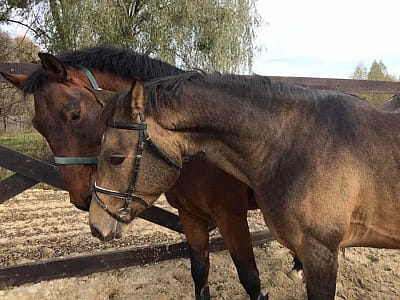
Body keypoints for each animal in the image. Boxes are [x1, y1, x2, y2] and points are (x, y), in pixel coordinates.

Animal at [0, 47, 272, 300]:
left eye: (74, 115)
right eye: (38, 126)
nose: (81, 197)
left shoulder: (231, 218)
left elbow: (250, 279)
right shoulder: (189, 216)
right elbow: (200, 272)